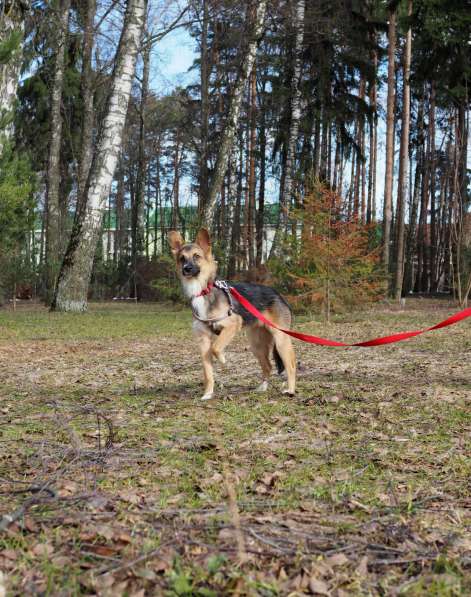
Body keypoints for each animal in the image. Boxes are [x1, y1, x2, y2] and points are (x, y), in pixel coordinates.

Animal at [169, 228, 296, 400]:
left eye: (196, 256)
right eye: (182, 258)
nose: (186, 269)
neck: (203, 291)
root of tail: (278, 294)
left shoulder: (232, 324)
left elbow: (216, 348)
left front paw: (222, 359)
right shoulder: (203, 341)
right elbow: (208, 373)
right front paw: (208, 394)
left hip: (280, 339)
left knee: (291, 364)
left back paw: (290, 390)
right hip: (256, 344)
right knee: (268, 365)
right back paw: (262, 387)